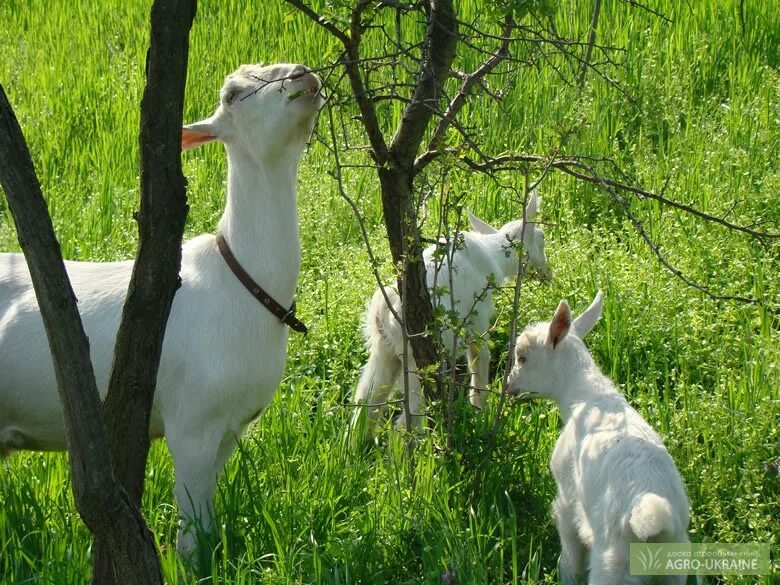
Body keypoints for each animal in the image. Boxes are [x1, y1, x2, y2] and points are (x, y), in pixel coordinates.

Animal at [0, 61, 322, 556]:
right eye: (233, 94)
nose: (303, 75)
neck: (241, 284)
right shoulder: (191, 424)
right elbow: (192, 532)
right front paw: (188, 562)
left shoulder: (227, 427)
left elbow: (207, 520)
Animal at [350, 193, 552, 438]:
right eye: (541, 237)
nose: (548, 274)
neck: (495, 257)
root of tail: (383, 312)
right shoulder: (477, 321)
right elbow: (479, 363)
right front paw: (480, 411)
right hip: (416, 356)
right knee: (407, 418)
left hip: (383, 349)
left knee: (365, 402)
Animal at [508, 292, 692, 584]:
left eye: (522, 358)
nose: (508, 386)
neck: (583, 394)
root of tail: (654, 522)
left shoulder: (567, 495)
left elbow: (570, 552)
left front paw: (566, 576)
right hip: (675, 565)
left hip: (612, 565)